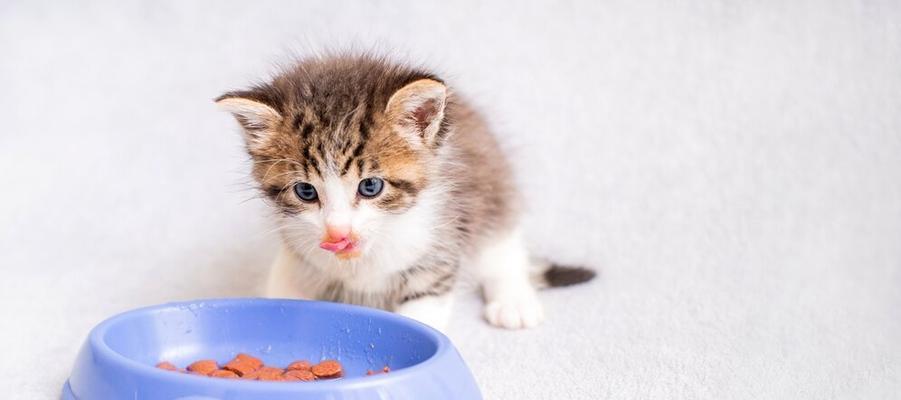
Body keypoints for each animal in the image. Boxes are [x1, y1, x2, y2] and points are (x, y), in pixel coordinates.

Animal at [215, 53, 596, 330]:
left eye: (370, 186)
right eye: (306, 191)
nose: (338, 232)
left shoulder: (439, 248)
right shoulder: (297, 254)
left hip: (491, 190)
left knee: (501, 246)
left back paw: (513, 299)